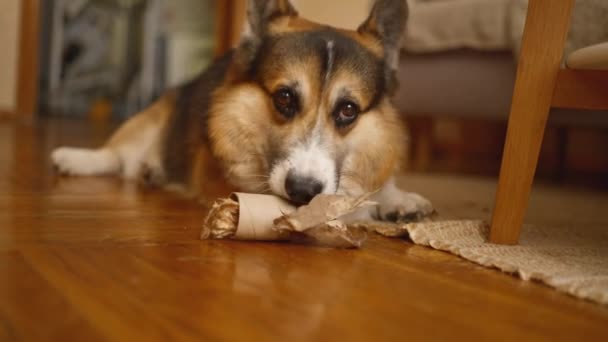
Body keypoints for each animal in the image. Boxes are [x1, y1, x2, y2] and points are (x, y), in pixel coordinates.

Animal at [51, 0, 432, 222]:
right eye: (284, 98)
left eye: (348, 110)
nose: (303, 191)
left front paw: (397, 199)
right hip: (149, 119)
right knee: (116, 155)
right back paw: (76, 159)